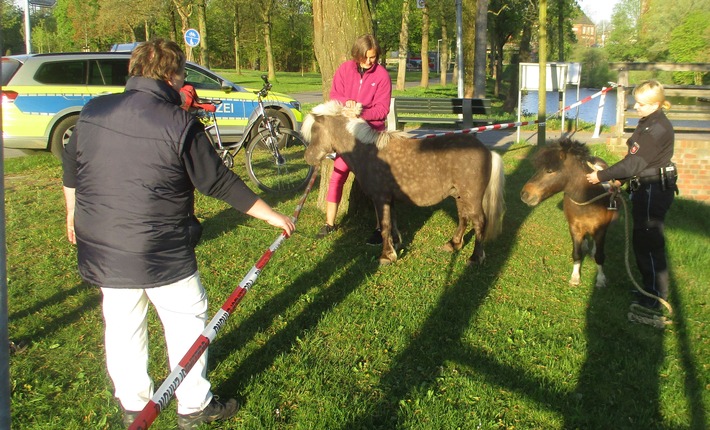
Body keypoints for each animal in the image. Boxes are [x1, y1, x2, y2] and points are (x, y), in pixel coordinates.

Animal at [300, 102, 506, 268]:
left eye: (315, 131)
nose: (308, 157)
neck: (368, 151)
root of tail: (487, 151)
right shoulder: (389, 199)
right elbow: (392, 222)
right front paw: (396, 245)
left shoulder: (380, 198)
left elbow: (384, 225)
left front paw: (386, 255)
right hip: (459, 195)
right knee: (463, 217)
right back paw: (453, 244)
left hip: (471, 196)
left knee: (479, 221)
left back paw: (475, 257)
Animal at [520, 139, 620, 286]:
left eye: (550, 170)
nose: (525, 194)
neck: (589, 199)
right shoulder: (574, 227)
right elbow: (576, 253)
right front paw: (575, 277)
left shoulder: (601, 230)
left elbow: (599, 256)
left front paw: (601, 279)